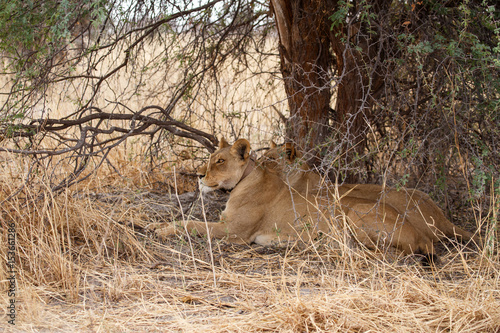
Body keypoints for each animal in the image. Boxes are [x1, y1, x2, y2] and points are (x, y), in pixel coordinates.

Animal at [152, 137, 480, 262]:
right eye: (210, 159)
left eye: (219, 161)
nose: (198, 176)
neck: (244, 182)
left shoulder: (235, 234)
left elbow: (189, 224)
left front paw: (162, 230)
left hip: (354, 212)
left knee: (385, 253)